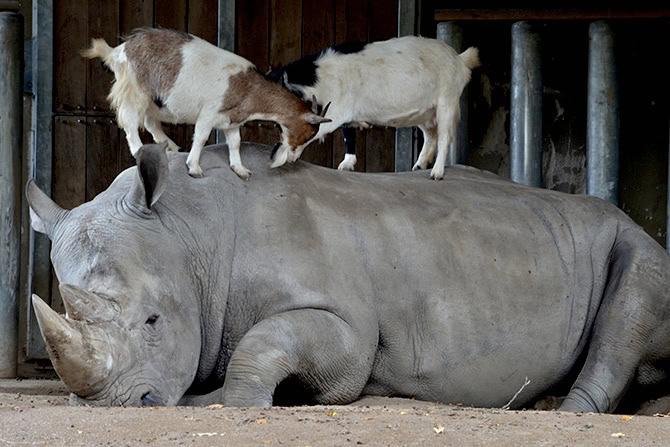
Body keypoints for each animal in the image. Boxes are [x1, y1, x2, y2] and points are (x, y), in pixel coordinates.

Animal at [82, 26, 332, 178]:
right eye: (308, 133)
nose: (293, 159)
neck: (248, 88)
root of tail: (116, 51)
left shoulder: (231, 121)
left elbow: (235, 143)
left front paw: (240, 169)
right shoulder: (209, 113)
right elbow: (201, 138)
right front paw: (194, 167)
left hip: (154, 101)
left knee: (151, 123)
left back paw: (171, 146)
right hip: (135, 90)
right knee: (131, 121)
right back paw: (138, 149)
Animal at [270, 36, 480, 180]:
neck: (320, 76)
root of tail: (460, 59)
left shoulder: (338, 108)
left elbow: (318, 129)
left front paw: (281, 157)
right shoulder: (346, 112)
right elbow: (348, 134)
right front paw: (345, 166)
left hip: (447, 100)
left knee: (445, 136)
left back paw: (436, 173)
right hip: (425, 112)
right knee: (431, 135)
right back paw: (419, 166)